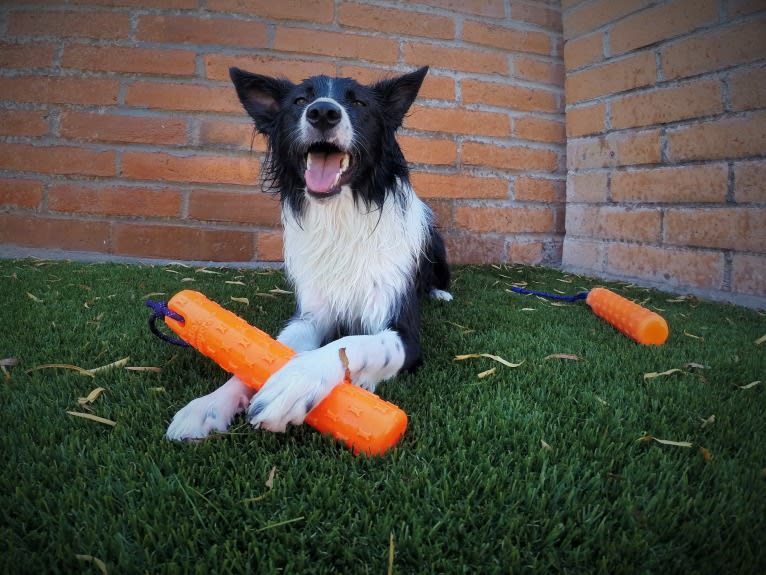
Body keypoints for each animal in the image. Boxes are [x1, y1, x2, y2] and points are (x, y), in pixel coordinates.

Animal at [164, 65, 450, 440]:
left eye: (358, 102)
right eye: (300, 101)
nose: (323, 112)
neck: (341, 218)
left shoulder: (405, 333)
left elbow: (355, 343)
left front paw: (297, 383)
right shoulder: (311, 314)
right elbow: (269, 351)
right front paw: (209, 405)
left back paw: (441, 293)